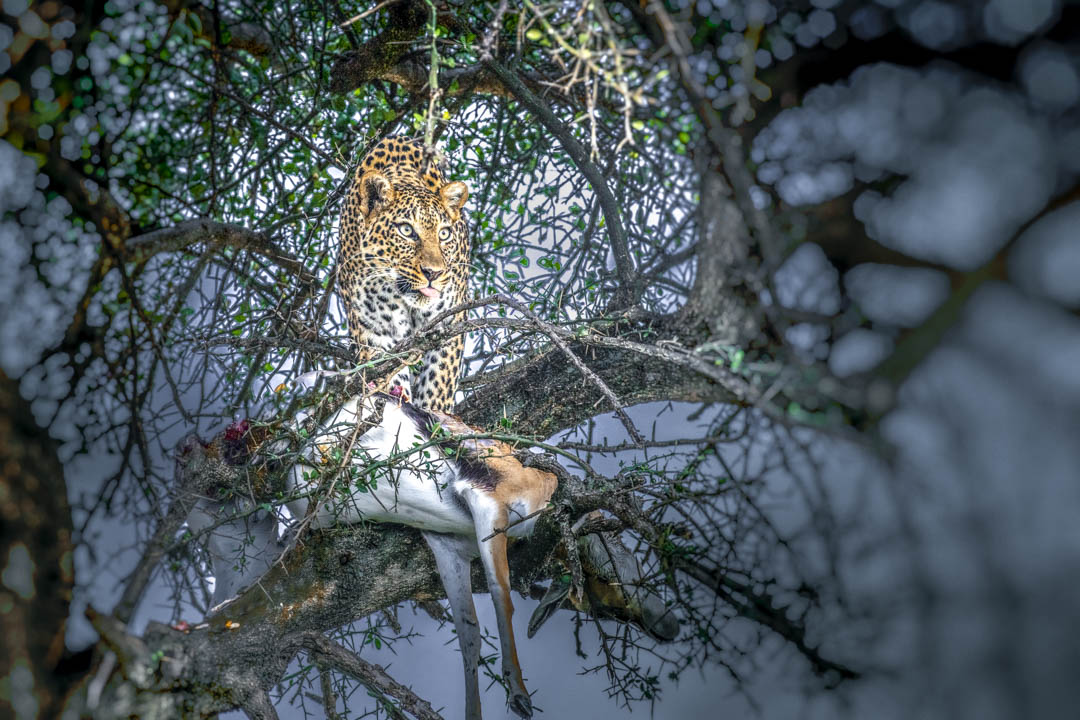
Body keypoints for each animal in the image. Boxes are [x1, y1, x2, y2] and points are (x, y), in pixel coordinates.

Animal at [337, 136, 470, 412]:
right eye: (407, 230)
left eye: (444, 234)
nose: (433, 273)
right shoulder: (373, 328)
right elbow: (384, 370)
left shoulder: (450, 322)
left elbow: (439, 379)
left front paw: (435, 413)